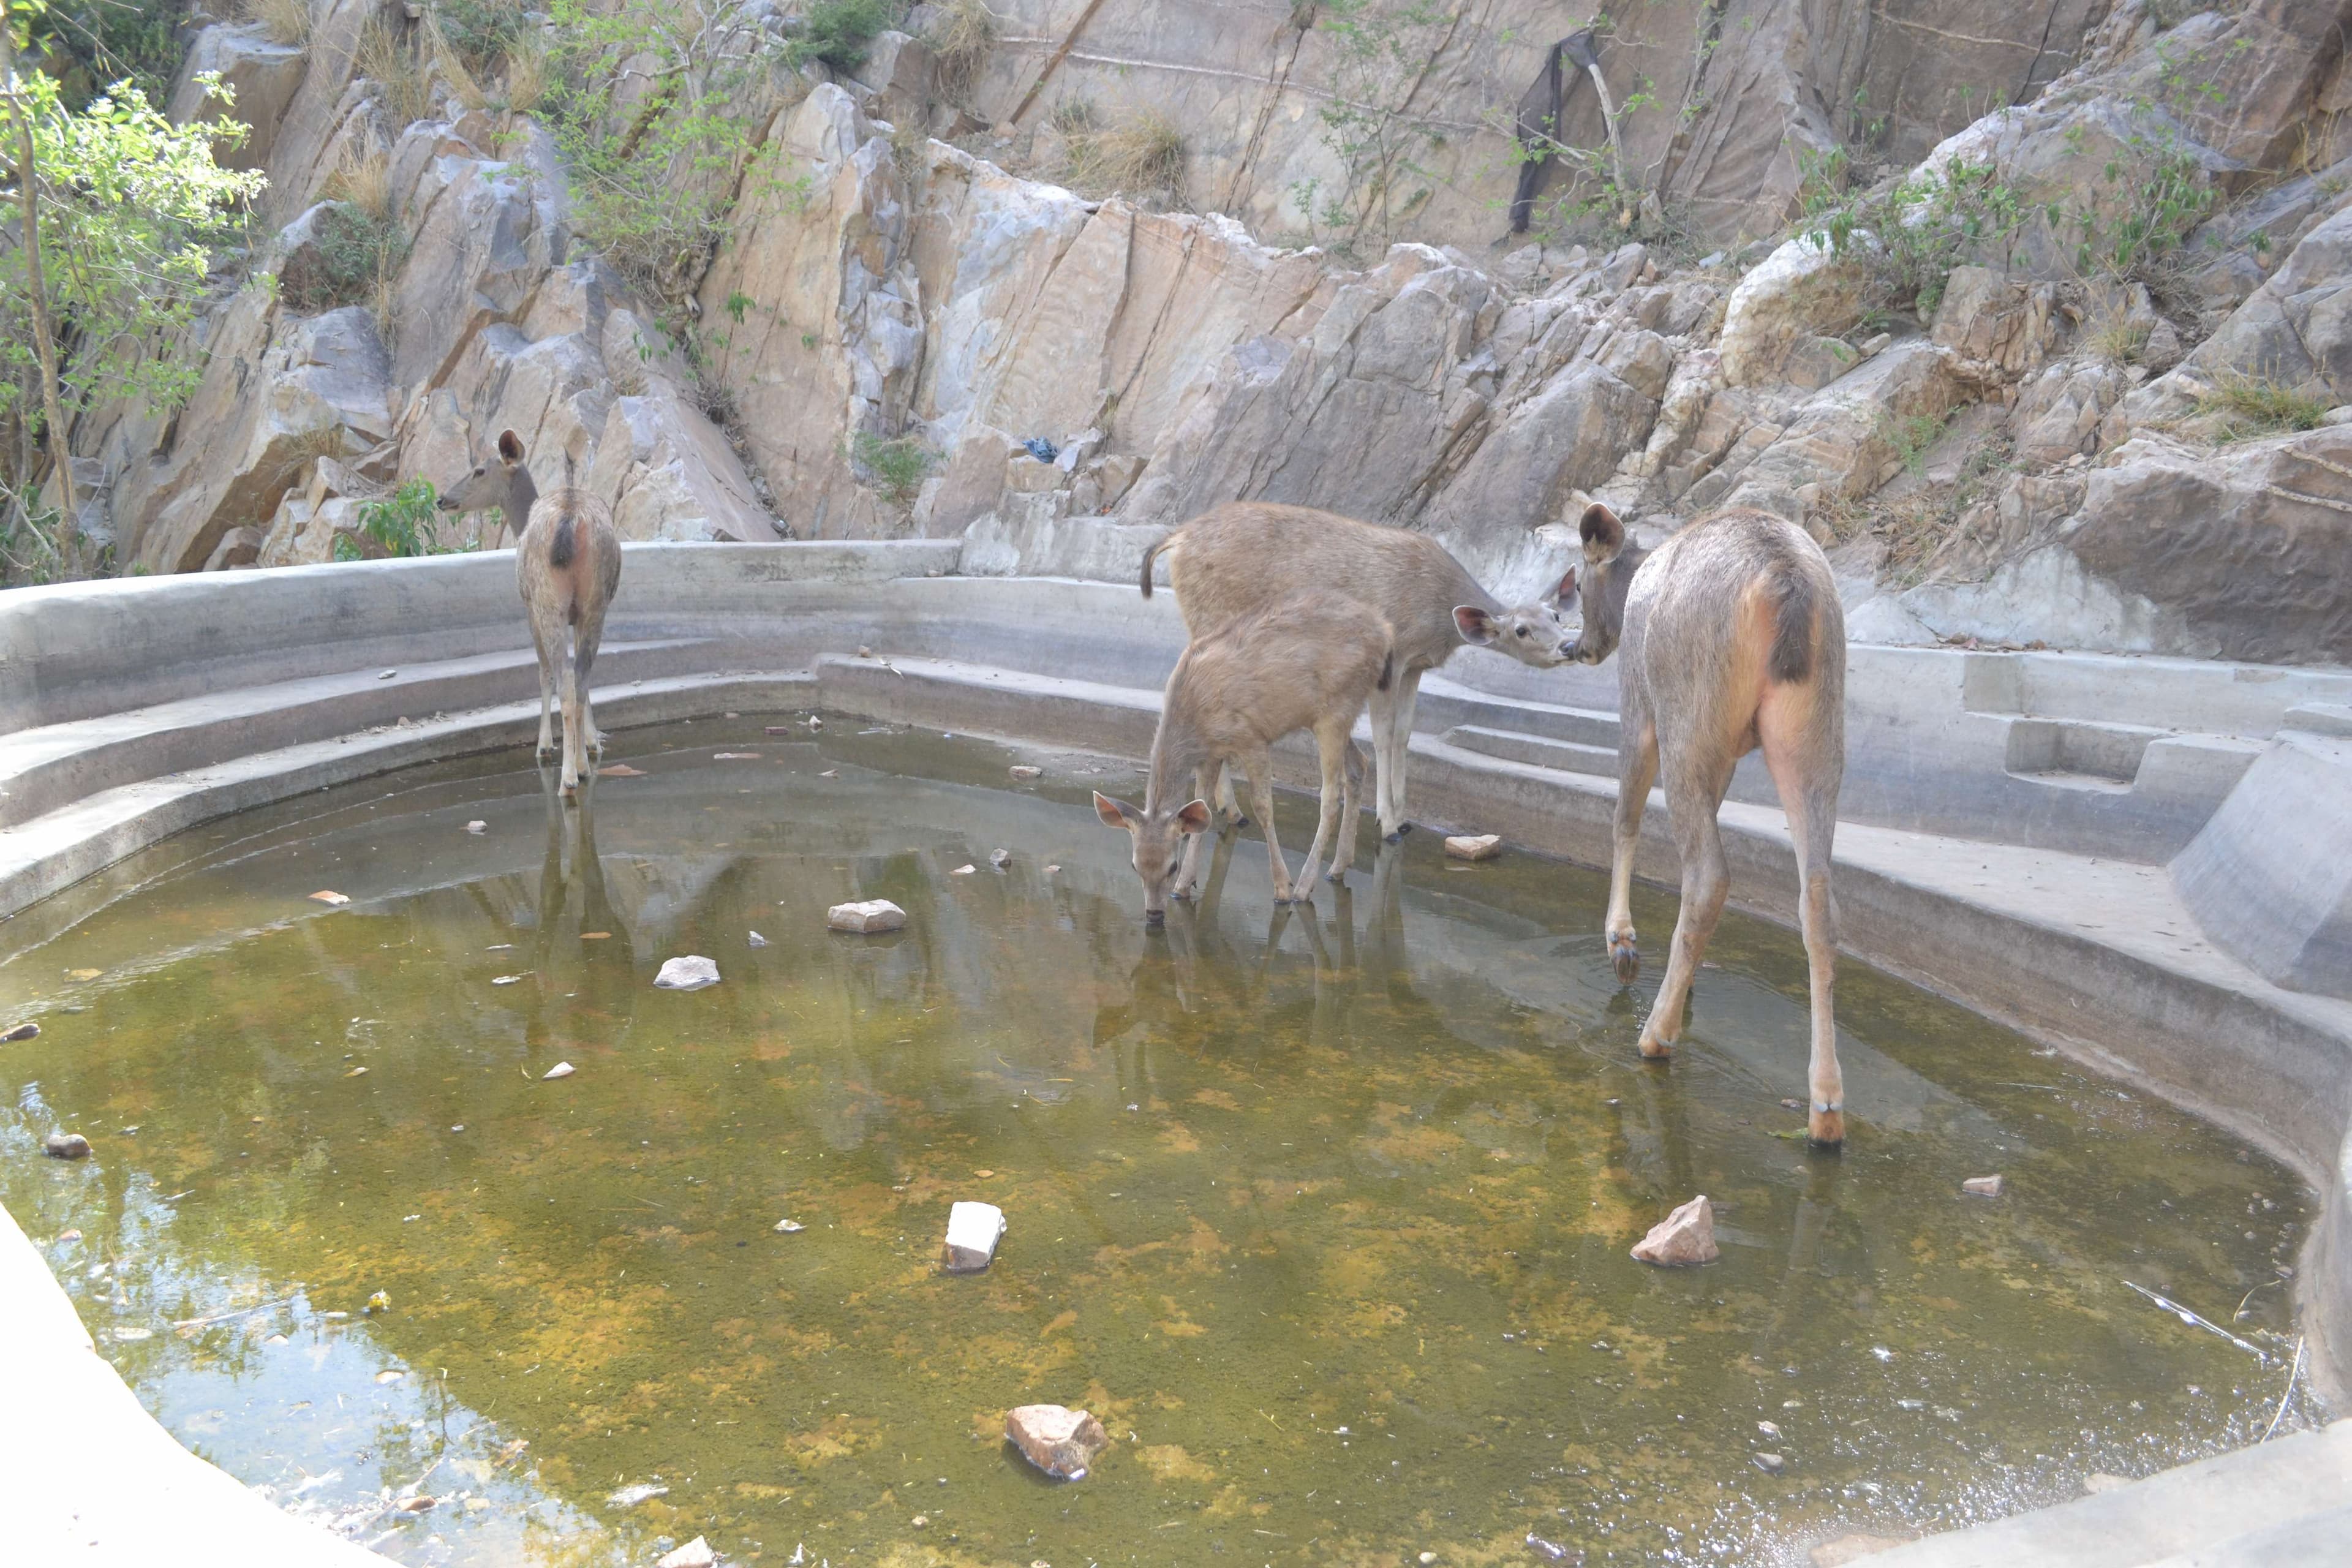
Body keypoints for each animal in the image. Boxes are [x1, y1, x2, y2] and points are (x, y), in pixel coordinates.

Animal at [440, 425, 625, 799]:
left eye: (479, 470)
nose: (442, 499)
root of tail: (570, 520)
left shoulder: (527, 605)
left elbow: (544, 672)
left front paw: (545, 745)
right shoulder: (579, 616)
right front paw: (593, 742)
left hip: (546, 600)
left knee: (563, 677)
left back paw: (568, 777)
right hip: (596, 602)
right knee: (581, 675)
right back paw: (582, 764)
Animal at [1101, 592, 1392, 930]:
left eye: (1171, 865)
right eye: (1135, 865)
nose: (1154, 915)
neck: (1195, 717)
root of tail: (1385, 634)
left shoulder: (1252, 738)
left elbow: (1263, 809)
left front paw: (1281, 888)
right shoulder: (1212, 754)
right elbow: (1203, 806)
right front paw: (1184, 888)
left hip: (1336, 710)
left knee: (1332, 794)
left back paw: (1304, 887)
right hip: (1335, 714)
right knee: (1360, 764)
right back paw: (1338, 867)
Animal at [1143, 503, 1580, 846]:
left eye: (1557, 616)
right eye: (1521, 630)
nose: (1568, 647)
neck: (1439, 618)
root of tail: (1177, 537)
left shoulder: (1415, 665)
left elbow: (1404, 733)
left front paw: (1403, 817)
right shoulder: (1394, 657)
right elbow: (1383, 735)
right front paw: (1387, 822)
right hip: (1210, 618)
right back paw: (1232, 810)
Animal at [1561, 510, 1853, 1147]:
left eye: (1577, 578)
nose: (1575, 645)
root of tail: (1785, 586)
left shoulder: (1638, 703)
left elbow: (1624, 818)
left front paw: (1622, 941)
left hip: (1688, 717)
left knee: (1709, 875)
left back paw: (1656, 1034)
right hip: (1813, 731)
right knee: (1818, 898)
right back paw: (1826, 1107)